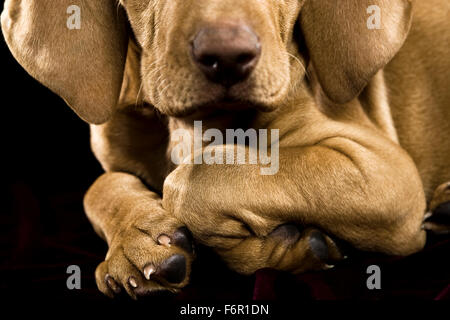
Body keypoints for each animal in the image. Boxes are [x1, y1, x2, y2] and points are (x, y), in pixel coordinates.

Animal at [1, 0, 448, 300]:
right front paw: (135, 239)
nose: (228, 56)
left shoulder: (384, 173)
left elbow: (194, 178)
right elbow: (98, 187)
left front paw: (282, 248)